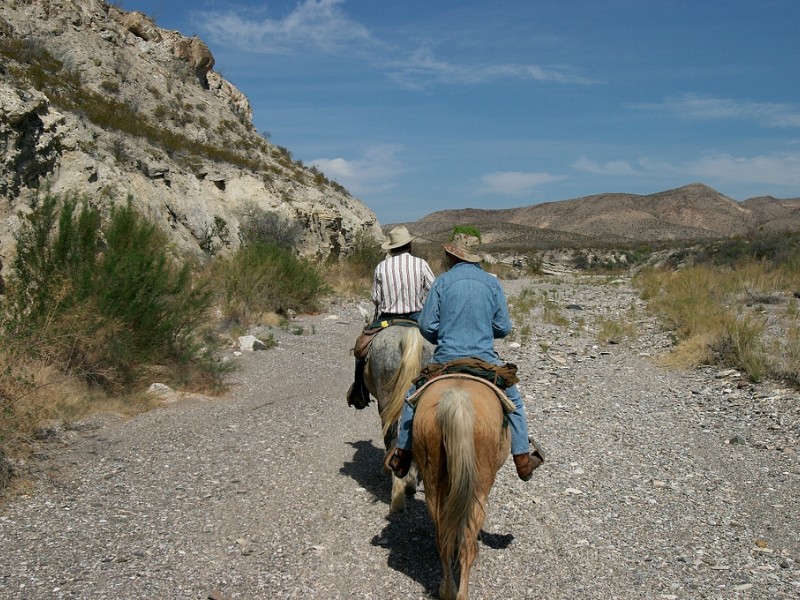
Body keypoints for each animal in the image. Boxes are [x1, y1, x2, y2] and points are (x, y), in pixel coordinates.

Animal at [412, 376, 512, 600]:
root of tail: (457, 400)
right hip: (479, 492)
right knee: (468, 545)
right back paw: (461, 592)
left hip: (434, 489)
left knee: (444, 541)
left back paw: (447, 590)